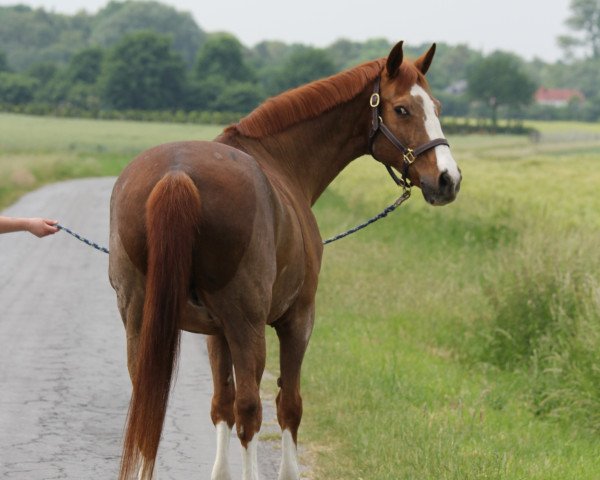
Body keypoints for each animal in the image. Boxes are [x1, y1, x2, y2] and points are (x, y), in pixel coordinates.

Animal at [108, 42, 462, 480]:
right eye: (402, 109)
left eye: (437, 107)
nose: (448, 179)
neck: (280, 159)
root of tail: (177, 175)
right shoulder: (296, 319)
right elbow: (288, 405)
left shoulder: (215, 331)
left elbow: (221, 405)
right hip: (248, 325)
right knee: (250, 411)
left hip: (140, 318)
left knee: (150, 405)